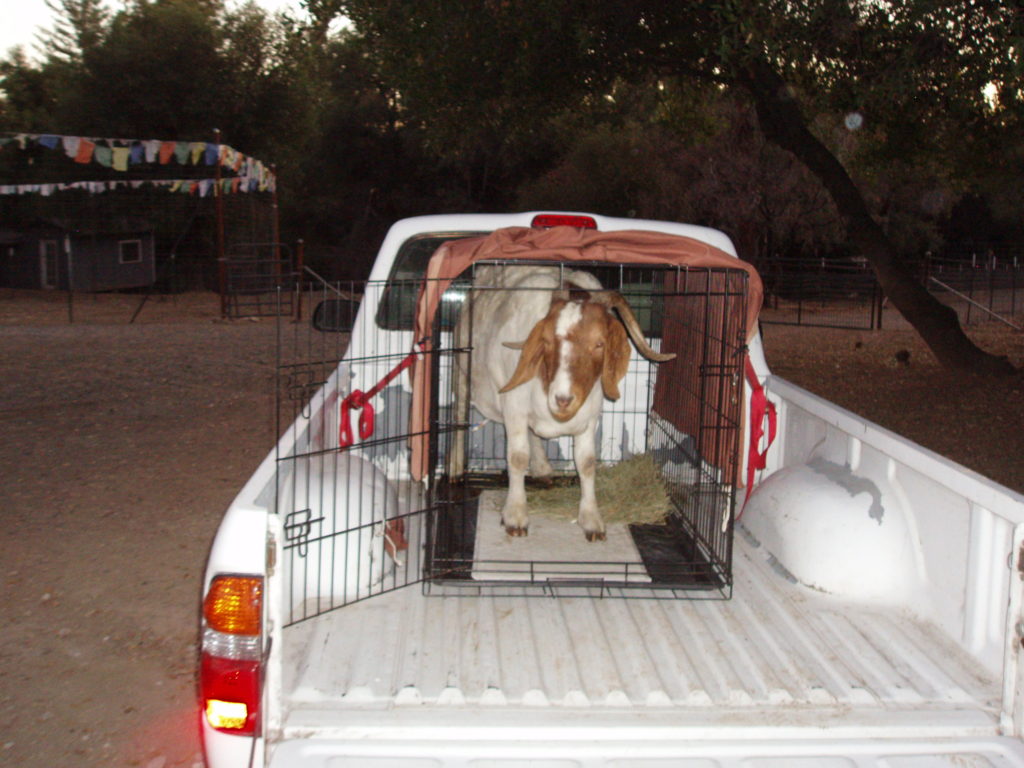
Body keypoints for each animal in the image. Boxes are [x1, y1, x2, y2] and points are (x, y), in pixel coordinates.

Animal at [452, 268, 675, 544]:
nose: (563, 398)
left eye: (599, 343)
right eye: (546, 341)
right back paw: (455, 468)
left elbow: (586, 463)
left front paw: (591, 520)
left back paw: (542, 468)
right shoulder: (514, 405)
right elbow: (517, 457)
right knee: (459, 413)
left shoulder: (589, 416)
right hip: (462, 368)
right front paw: (515, 515)